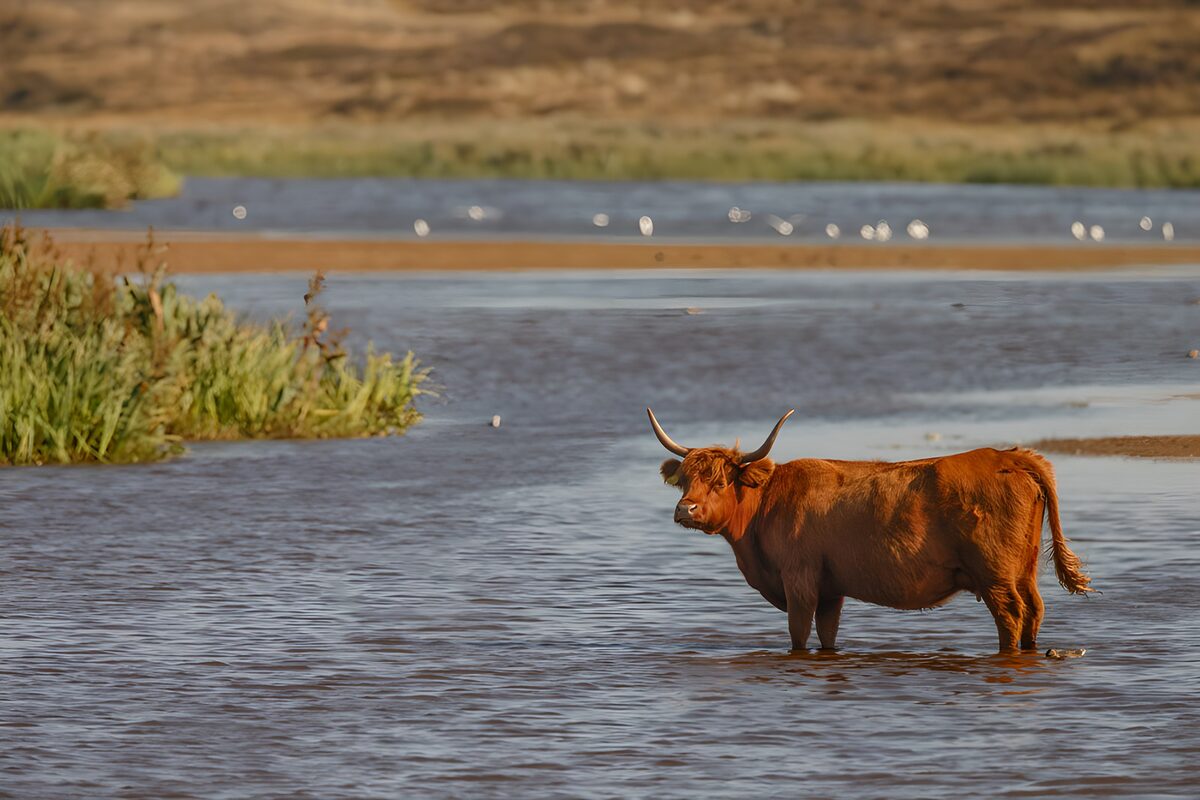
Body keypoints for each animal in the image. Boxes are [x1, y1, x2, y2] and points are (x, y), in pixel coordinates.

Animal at [648, 408, 1093, 653]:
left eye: (721, 481)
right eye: (685, 480)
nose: (685, 509)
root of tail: (1012, 457)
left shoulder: (800, 582)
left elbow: (798, 635)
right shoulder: (830, 590)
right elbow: (827, 634)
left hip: (995, 575)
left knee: (1011, 616)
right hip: (1024, 569)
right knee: (1034, 610)